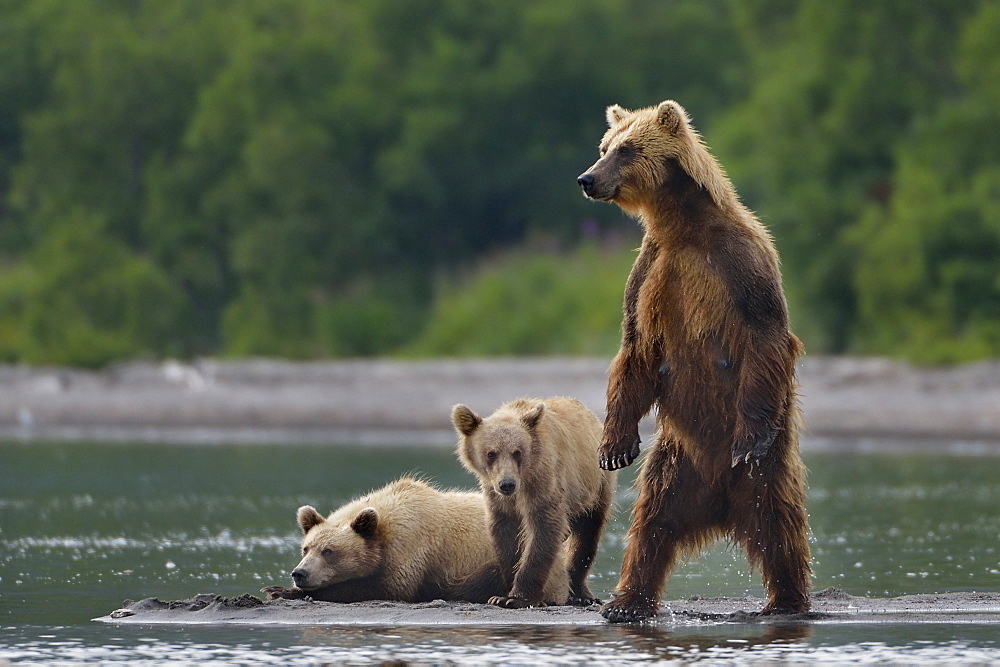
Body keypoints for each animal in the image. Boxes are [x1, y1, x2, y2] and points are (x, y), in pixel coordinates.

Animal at [580, 100, 812, 628]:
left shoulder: (738, 263)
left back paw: (787, 600)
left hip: (763, 470)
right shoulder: (650, 271)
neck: (681, 227)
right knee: (650, 527)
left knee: (780, 527)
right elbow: (634, 350)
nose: (586, 179)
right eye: (604, 146)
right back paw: (625, 603)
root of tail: (720, 506)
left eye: (627, 149)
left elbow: (766, 334)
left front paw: (749, 436)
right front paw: (613, 447)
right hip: (675, 464)